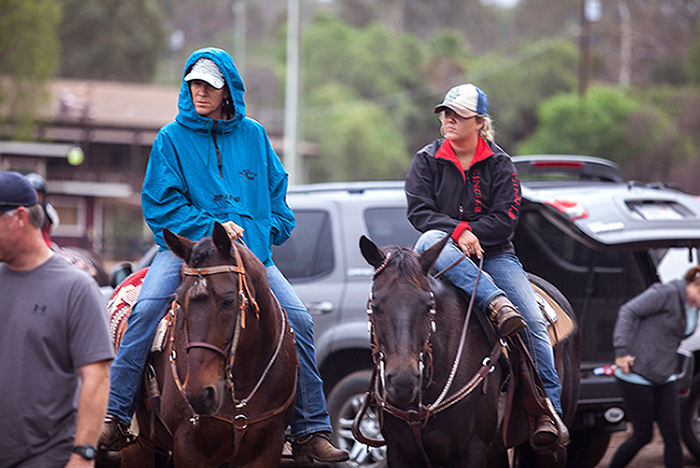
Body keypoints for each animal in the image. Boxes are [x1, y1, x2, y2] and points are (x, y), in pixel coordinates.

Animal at [111, 223, 296, 468]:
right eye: (179, 300)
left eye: (229, 301)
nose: (199, 393)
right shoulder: (188, 444)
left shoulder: (269, 446)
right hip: (138, 446)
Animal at [356, 236, 580, 468]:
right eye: (375, 305)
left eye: (428, 305)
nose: (403, 382)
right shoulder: (398, 452)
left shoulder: (473, 450)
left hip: (553, 449)